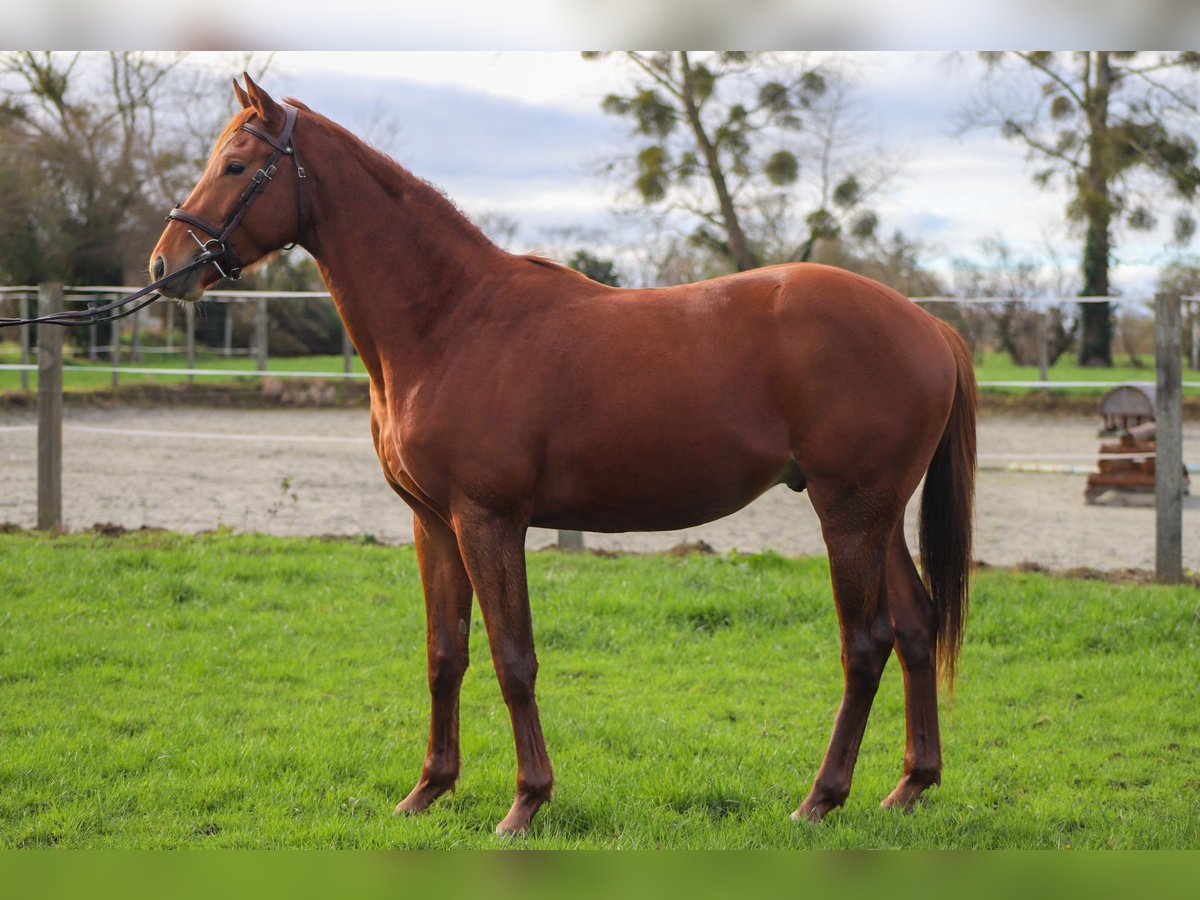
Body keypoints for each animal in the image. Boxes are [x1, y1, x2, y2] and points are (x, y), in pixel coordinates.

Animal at [150, 77, 974, 840]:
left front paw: (526, 803)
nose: (166, 267)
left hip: (849, 513)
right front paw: (427, 791)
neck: (453, 320)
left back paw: (820, 800)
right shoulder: (434, 526)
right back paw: (908, 786)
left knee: (864, 645)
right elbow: (445, 655)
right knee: (914, 628)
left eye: (235, 165)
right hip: (875, 516)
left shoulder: (488, 521)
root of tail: (928, 326)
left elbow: (513, 658)